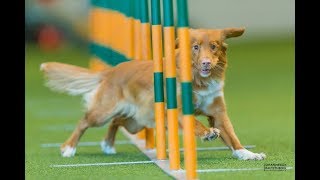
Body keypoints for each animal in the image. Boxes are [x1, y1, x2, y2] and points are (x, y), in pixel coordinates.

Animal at [40, 27, 264, 160]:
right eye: (195, 47)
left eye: (214, 46)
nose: (206, 63)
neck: (199, 80)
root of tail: (113, 71)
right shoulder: (177, 110)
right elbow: (195, 123)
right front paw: (207, 133)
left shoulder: (217, 112)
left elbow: (232, 136)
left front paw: (247, 154)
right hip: (104, 112)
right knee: (85, 121)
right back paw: (68, 148)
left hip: (138, 120)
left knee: (118, 121)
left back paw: (107, 144)